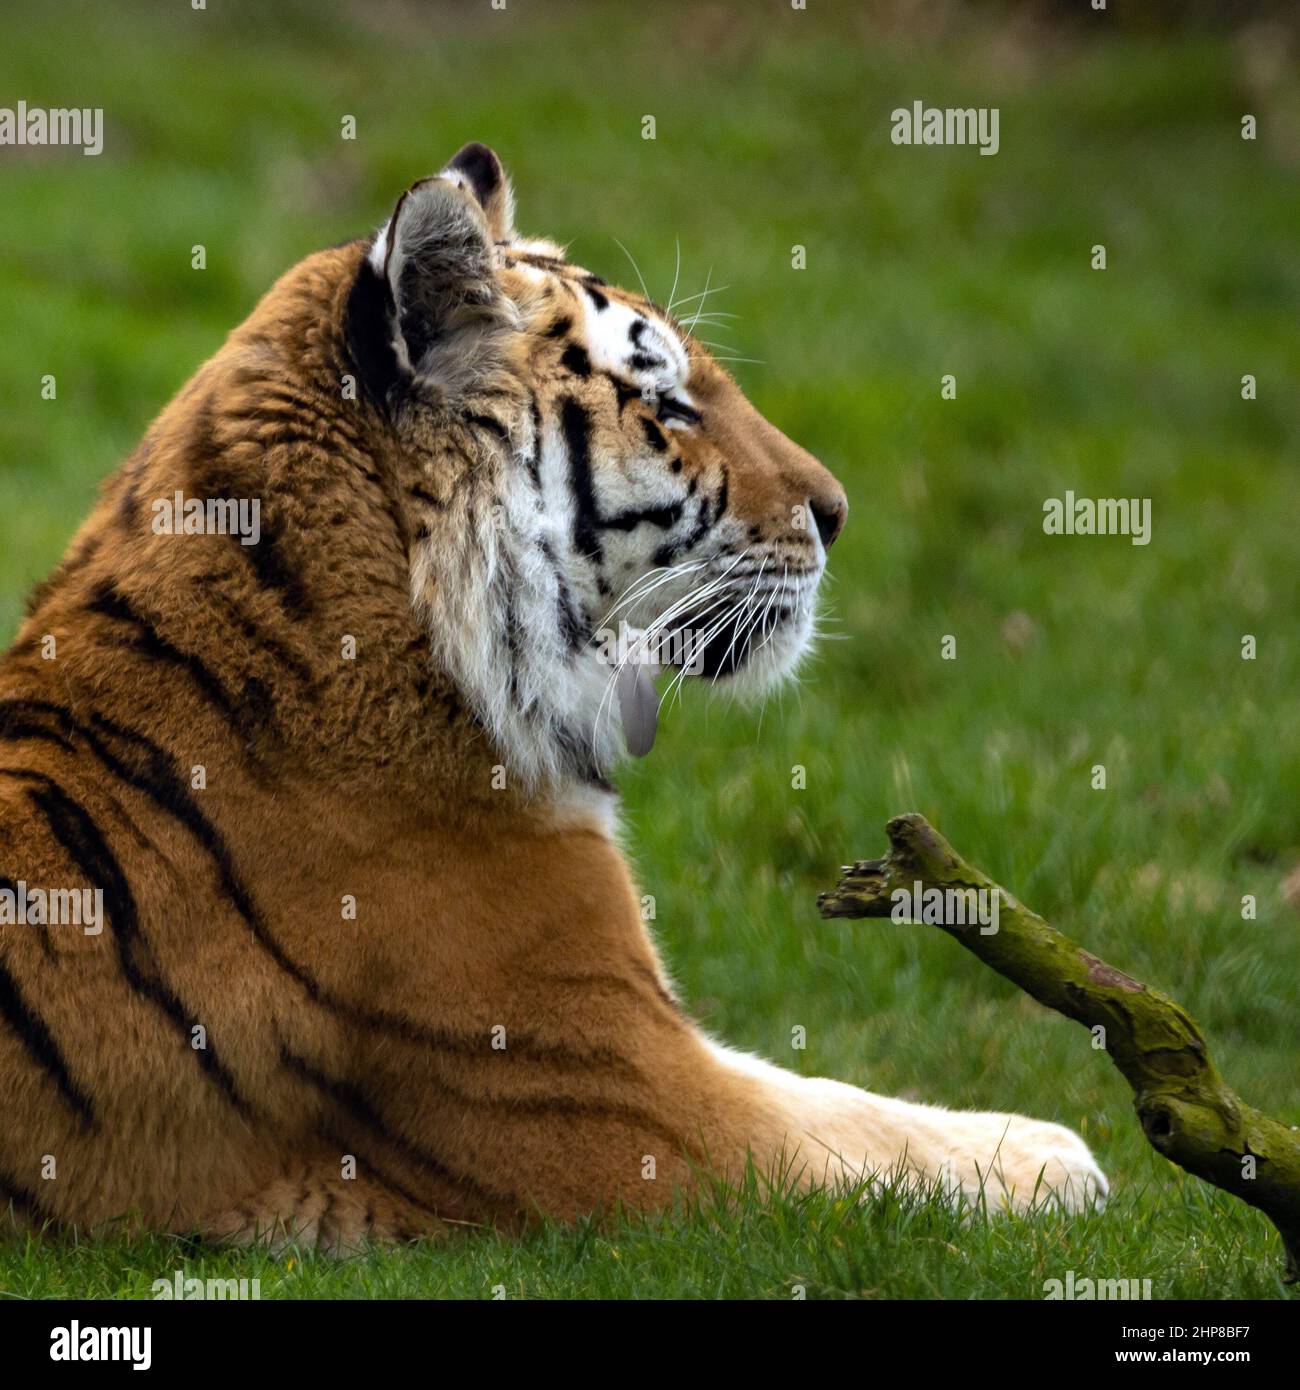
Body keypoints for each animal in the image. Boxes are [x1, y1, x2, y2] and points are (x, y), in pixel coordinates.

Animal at [0, 141, 1106, 1251]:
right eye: (666, 406)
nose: (835, 512)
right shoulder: (630, 1100)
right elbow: (876, 1145)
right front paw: (1063, 1158)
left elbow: (845, 1095)